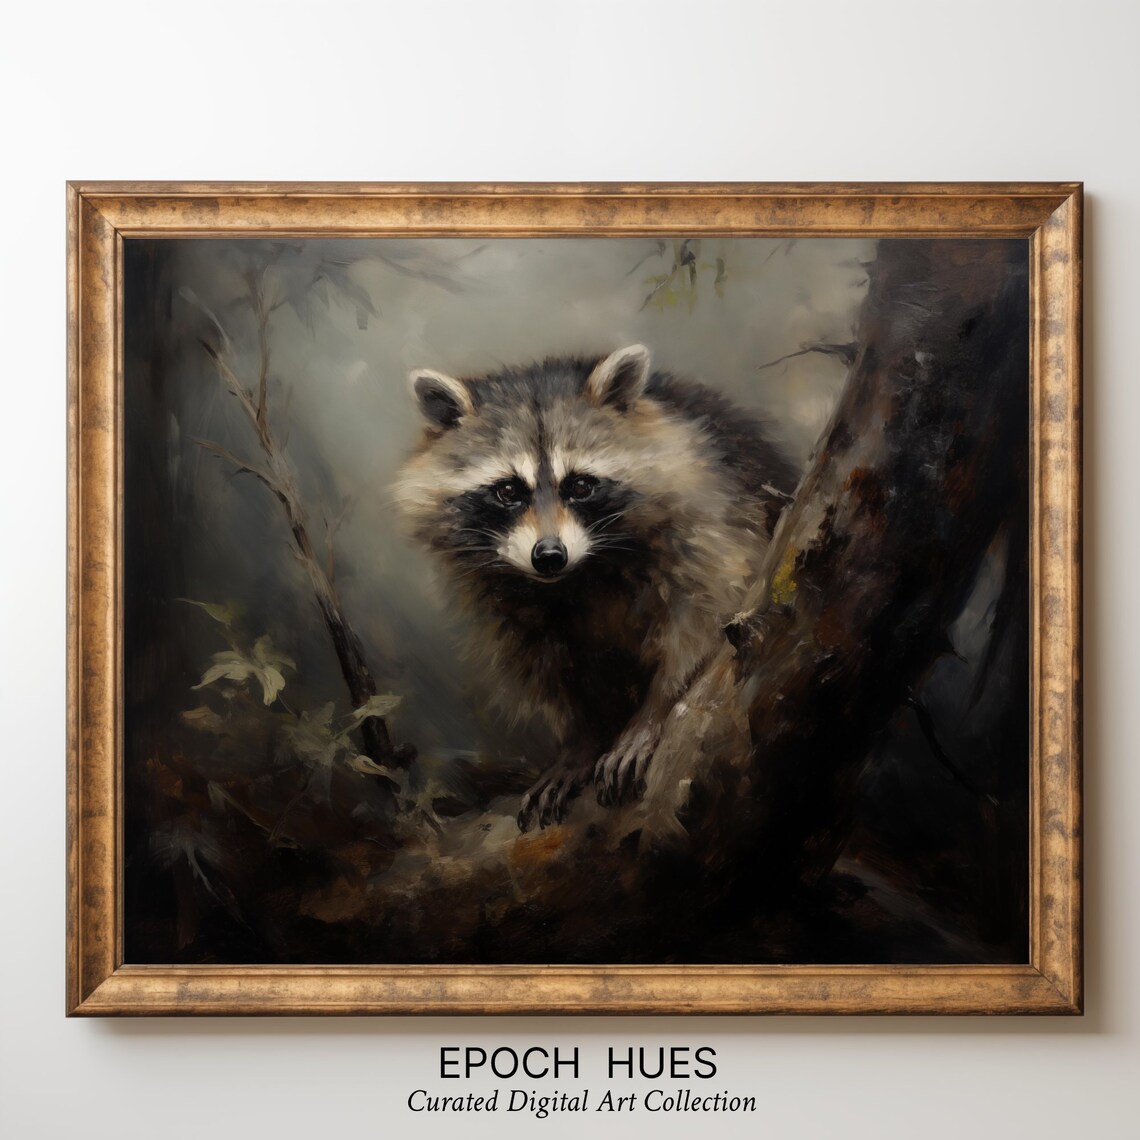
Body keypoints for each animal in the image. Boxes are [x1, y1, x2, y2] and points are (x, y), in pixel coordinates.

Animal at [393, 344, 795, 831]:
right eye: (508, 491)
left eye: (580, 485)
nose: (549, 555)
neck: (575, 577)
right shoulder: (505, 607)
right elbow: (551, 671)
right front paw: (580, 742)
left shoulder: (711, 528)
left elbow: (700, 624)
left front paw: (654, 711)